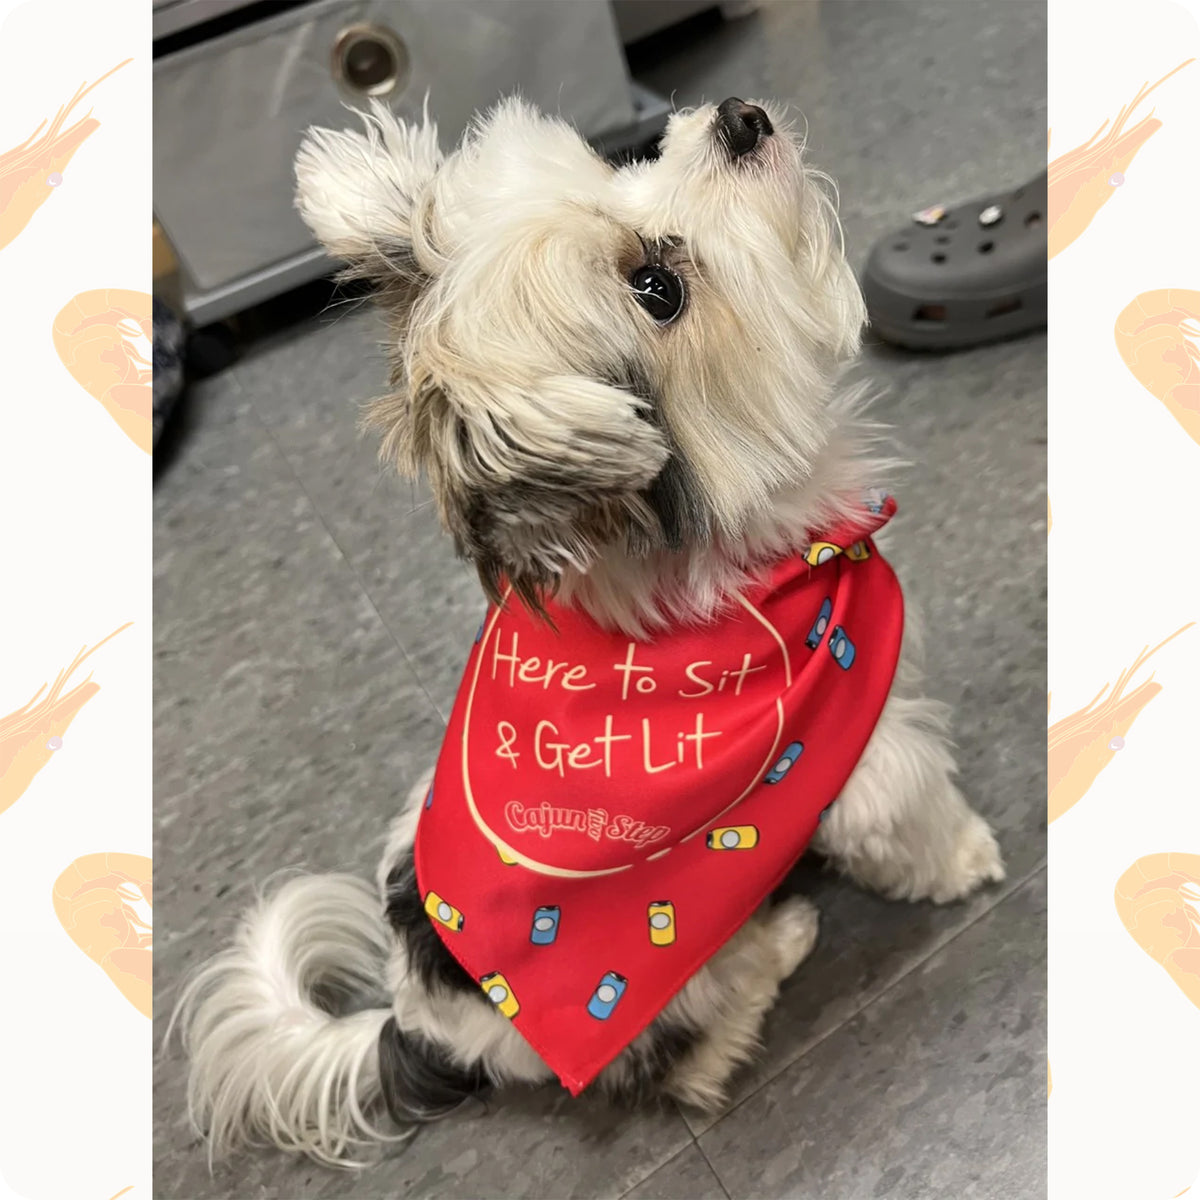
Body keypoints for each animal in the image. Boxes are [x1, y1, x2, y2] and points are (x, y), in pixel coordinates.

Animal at [174, 93, 1008, 1161]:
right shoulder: (860, 751)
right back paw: (775, 951)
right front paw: (968, 861)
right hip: (671, 985)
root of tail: (414, 1024)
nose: (738, 115)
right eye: (658, 289)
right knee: (690, 1063)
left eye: (625, 166)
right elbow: (914, 816)